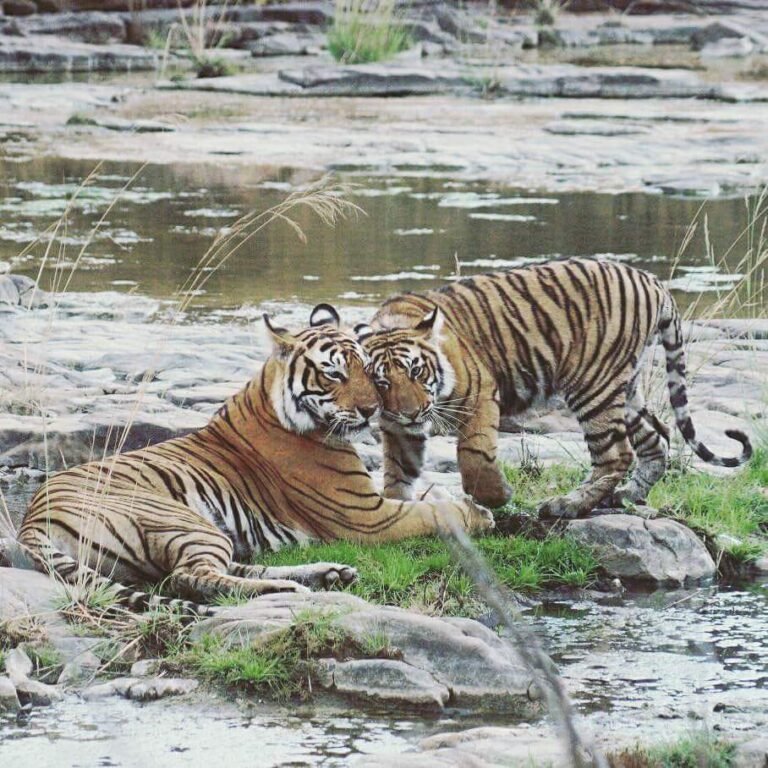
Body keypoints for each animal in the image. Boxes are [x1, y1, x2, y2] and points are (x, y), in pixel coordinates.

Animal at [17, 304, 493, 615]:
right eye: (334, 373)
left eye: (367, 371)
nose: (371, 410)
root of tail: (31, 518)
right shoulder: (365, 516)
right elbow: (432, 513)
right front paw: (479, 513)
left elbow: (428, 499)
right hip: (179, 519)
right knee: (191, 576)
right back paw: (291, 589)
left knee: (216, 566)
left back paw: (328, 575)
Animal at [353, 258, 752, 519]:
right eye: (382, 382)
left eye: (417, 371)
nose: (412, 413)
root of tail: (652, 281)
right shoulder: (396, 426)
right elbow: (397, 470)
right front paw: (397, 507)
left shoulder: (481, 395)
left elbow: (474, 455)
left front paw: (496, 497)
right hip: (625, 390)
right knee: (657, 437)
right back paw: (624, 497)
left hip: (593, 384)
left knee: (617, 454)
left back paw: (567, 505)